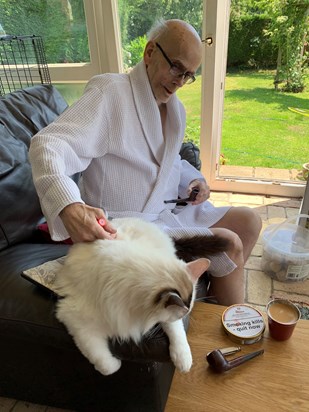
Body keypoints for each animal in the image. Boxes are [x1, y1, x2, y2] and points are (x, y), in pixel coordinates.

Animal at [54, 219, 214, 376]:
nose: (185, 314)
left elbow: (176, 331)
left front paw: (183, 360)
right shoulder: (76, 321)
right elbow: (105, 364)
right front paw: (116, 363)